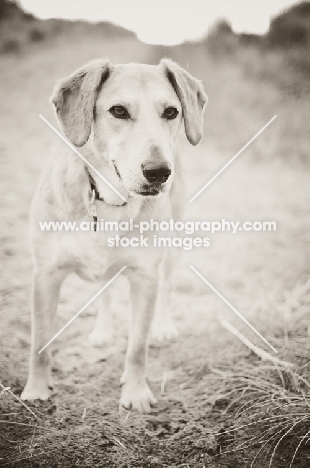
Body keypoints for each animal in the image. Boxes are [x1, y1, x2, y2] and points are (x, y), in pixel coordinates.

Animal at [20, 58, 207, 414]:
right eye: (118, 111)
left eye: (171, 112)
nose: (160, 172)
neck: (108, 197)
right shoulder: (45, 274)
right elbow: (40, 342)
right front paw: (36, 390)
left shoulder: (145, 277)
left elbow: (137, 347)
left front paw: (135, 392)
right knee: (102, 289)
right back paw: (102, 330)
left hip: (173, 245)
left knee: (167, 284)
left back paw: (163, 326)